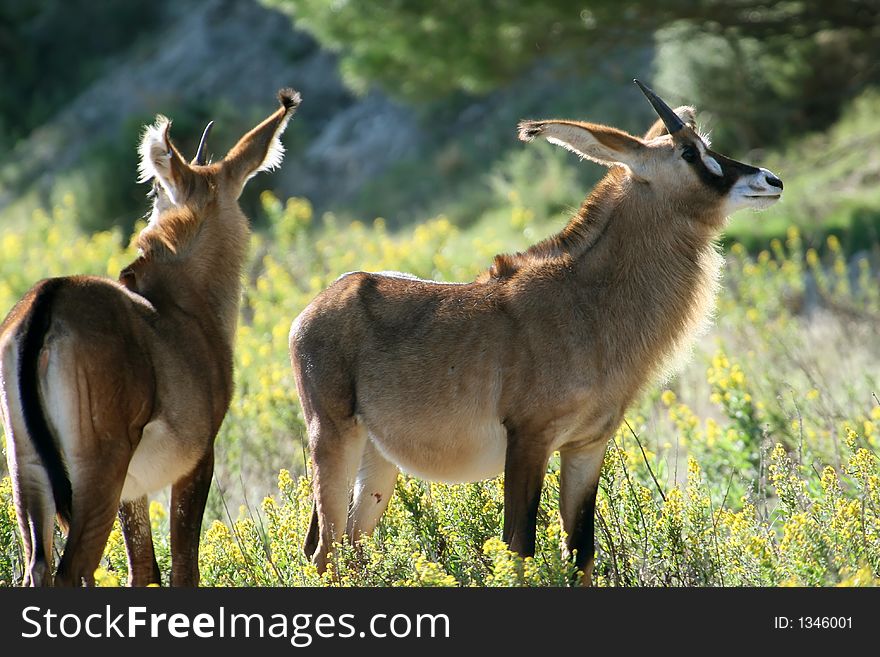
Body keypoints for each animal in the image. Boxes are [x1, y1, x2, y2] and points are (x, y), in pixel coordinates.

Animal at [0, 87, 300, 584]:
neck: (181, 304)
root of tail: (49, 299)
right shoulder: (198, 460)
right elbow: (183, 567)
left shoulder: (133, 492)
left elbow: (143, 568)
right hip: (98, 470)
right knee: (69, 570)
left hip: (30, 469)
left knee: (37, 568)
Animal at [290, 79, 784, 580]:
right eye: (689, 152)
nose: (770, 181)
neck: (586, 301)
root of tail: (317, 305)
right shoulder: (529, 438)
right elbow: (519, 548)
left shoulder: (586, 445)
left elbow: (581, 551)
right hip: (333, 436)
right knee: (323, 550)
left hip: (377, 460)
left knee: (350, 543)